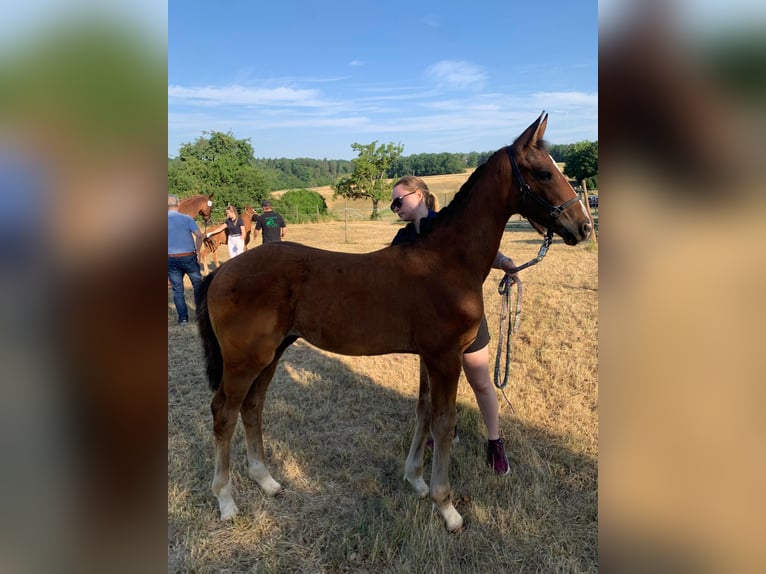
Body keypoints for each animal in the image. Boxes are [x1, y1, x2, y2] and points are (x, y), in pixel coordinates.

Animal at [195, 113, 592, 532]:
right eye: (544, 173)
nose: (583, 227)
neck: (447, 261)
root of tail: (220, 273)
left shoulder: (429, 357)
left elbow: (422, 412)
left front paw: (416, 479)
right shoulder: (444, 357)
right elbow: (444, 423)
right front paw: (447, 507)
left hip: (271, 354)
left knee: (253, 407)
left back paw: (266, 480)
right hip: (245, 360)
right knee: (224, 412)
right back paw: (225, 500)